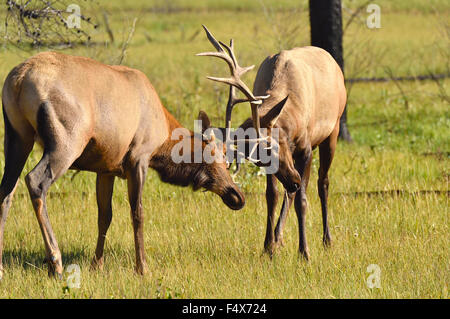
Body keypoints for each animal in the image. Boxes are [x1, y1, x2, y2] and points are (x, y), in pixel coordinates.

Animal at [0, 51, 246, 278]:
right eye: (220, 154)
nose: (237, 195)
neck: (164, 135)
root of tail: (19, 80)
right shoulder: (139, 157)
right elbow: (137, 213)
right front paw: (142, 267)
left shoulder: (105, 168)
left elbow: (104, 216)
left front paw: (96, 265)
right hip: (66, 141)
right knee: (35, 181)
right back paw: (56, 263)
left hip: (17, 137)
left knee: (7, 189)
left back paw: (2, 268)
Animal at [199, 25, 346, 260]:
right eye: (258, 160)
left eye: (271, 146)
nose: (294, 180)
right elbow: (272, 196)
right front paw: (268, 246)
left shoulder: (305, 149)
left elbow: (303, 201)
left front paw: (304, 252)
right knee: (290, 193)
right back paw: (279, 237)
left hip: (333, 131)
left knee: (323, 183)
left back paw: (327, 239)